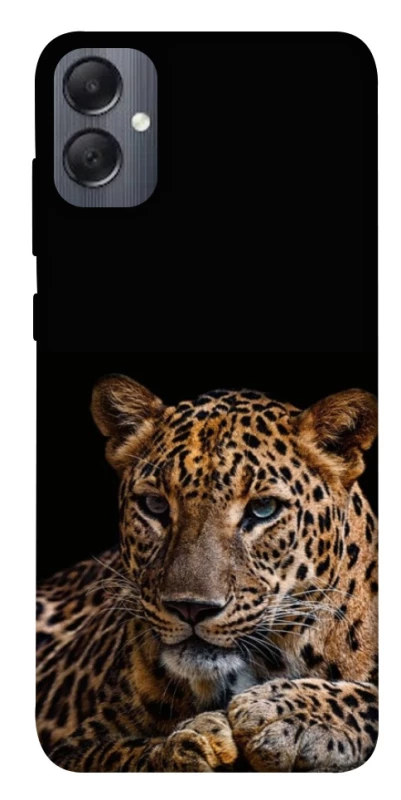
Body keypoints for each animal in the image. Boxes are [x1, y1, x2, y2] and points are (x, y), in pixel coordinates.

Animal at [36, 374, 378, 772]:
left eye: (263, 508)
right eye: (155, 505)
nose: (191, 608)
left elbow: (370, 698)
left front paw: (287, 713)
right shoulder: (75, 747)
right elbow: (125, 756)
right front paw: (190, 745)